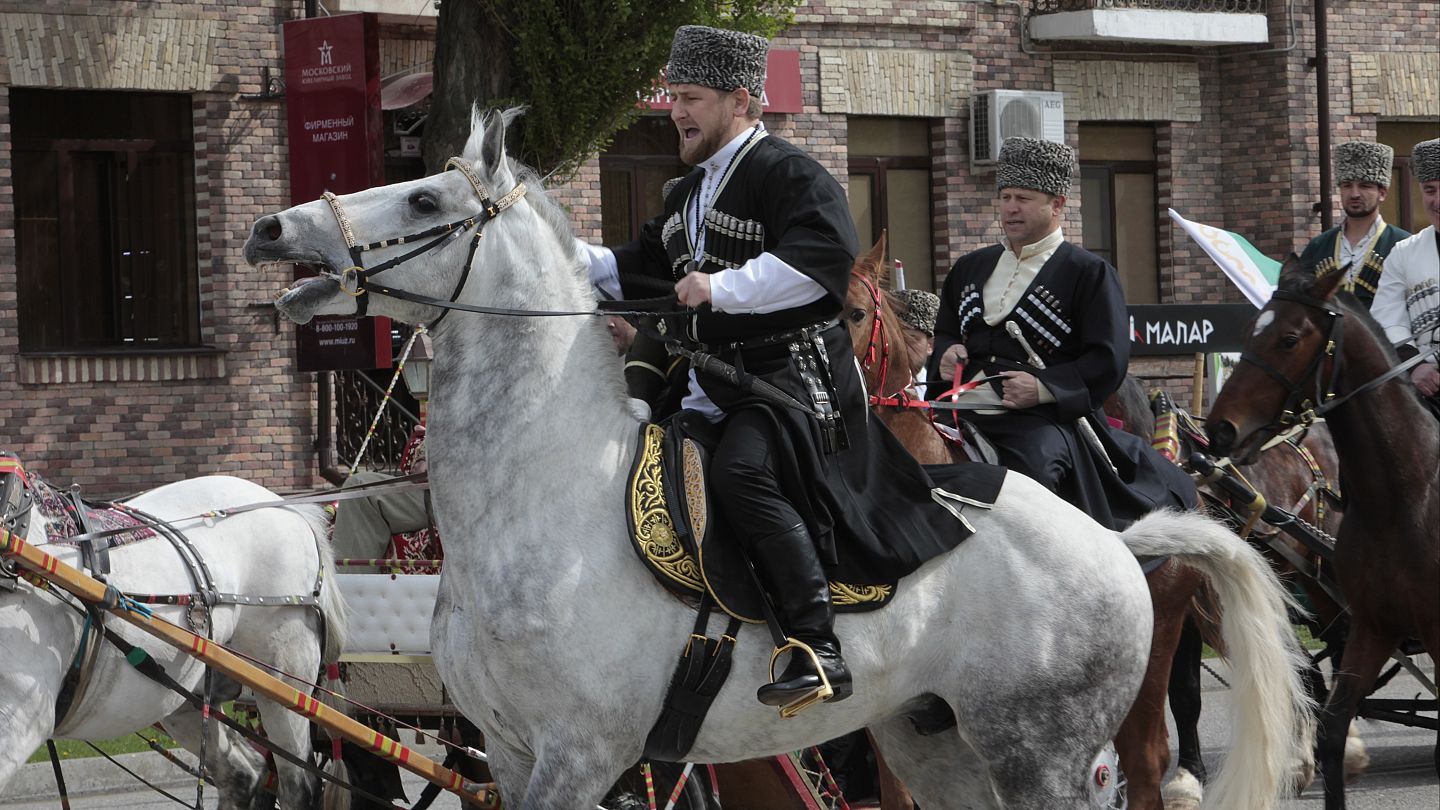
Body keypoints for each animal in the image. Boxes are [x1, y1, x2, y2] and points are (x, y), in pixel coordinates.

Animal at [0, 472, 347, 807]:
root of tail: (291, 508)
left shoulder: (22, 715)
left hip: (283, 679)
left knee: (298, 786)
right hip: (185, 694)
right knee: (243, 773)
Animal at [244, 108, 1319, 807]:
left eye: (425, 195)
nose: (270, 226)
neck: (544, 495)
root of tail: (1115, 541)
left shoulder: (577, 756)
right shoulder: (507, 757)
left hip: (1043, 752)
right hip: (937, 745)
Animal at [1209, 262, 1434, 801]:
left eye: (1290, 339)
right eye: (1247, 333)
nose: (1221, 429)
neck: (1403, 497)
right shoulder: (1373, 625)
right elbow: (1331, 729)